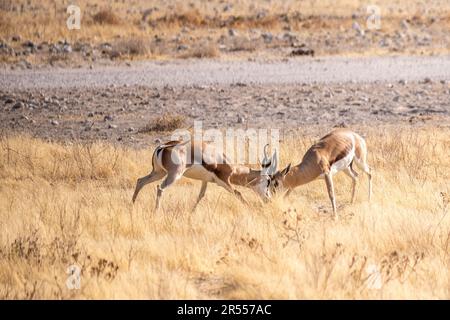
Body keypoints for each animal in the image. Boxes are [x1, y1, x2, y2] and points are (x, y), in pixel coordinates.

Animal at [131, 139, 278, 210]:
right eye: (268, 182)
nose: (269, 199)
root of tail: (163, 147)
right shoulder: (224, 182)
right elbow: (238, 193)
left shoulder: (205, 180)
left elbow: (200, 196)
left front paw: (191, 212)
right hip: (174, 175)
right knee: (160, 188)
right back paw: (156, 211)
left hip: (158, 173)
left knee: (140, 181)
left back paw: (131, 205)